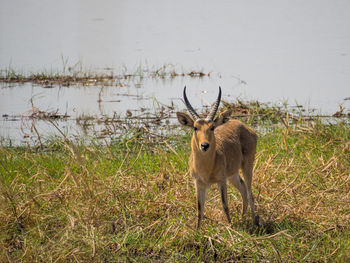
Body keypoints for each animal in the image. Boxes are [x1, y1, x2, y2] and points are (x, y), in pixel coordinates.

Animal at [176, 87, 258, 229]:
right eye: (195, 127)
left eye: (212, 127)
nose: (204, 145)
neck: (206, 169)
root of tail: (244, 126)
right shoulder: (198, 183)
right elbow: (199, 209)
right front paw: (197, 230)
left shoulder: (221, 180)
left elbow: (225, 205)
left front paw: (230, 226)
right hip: (232, 174)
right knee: (242, 188)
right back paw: (242, 218)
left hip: (247, 166)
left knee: (249, 192)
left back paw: (254, 222)